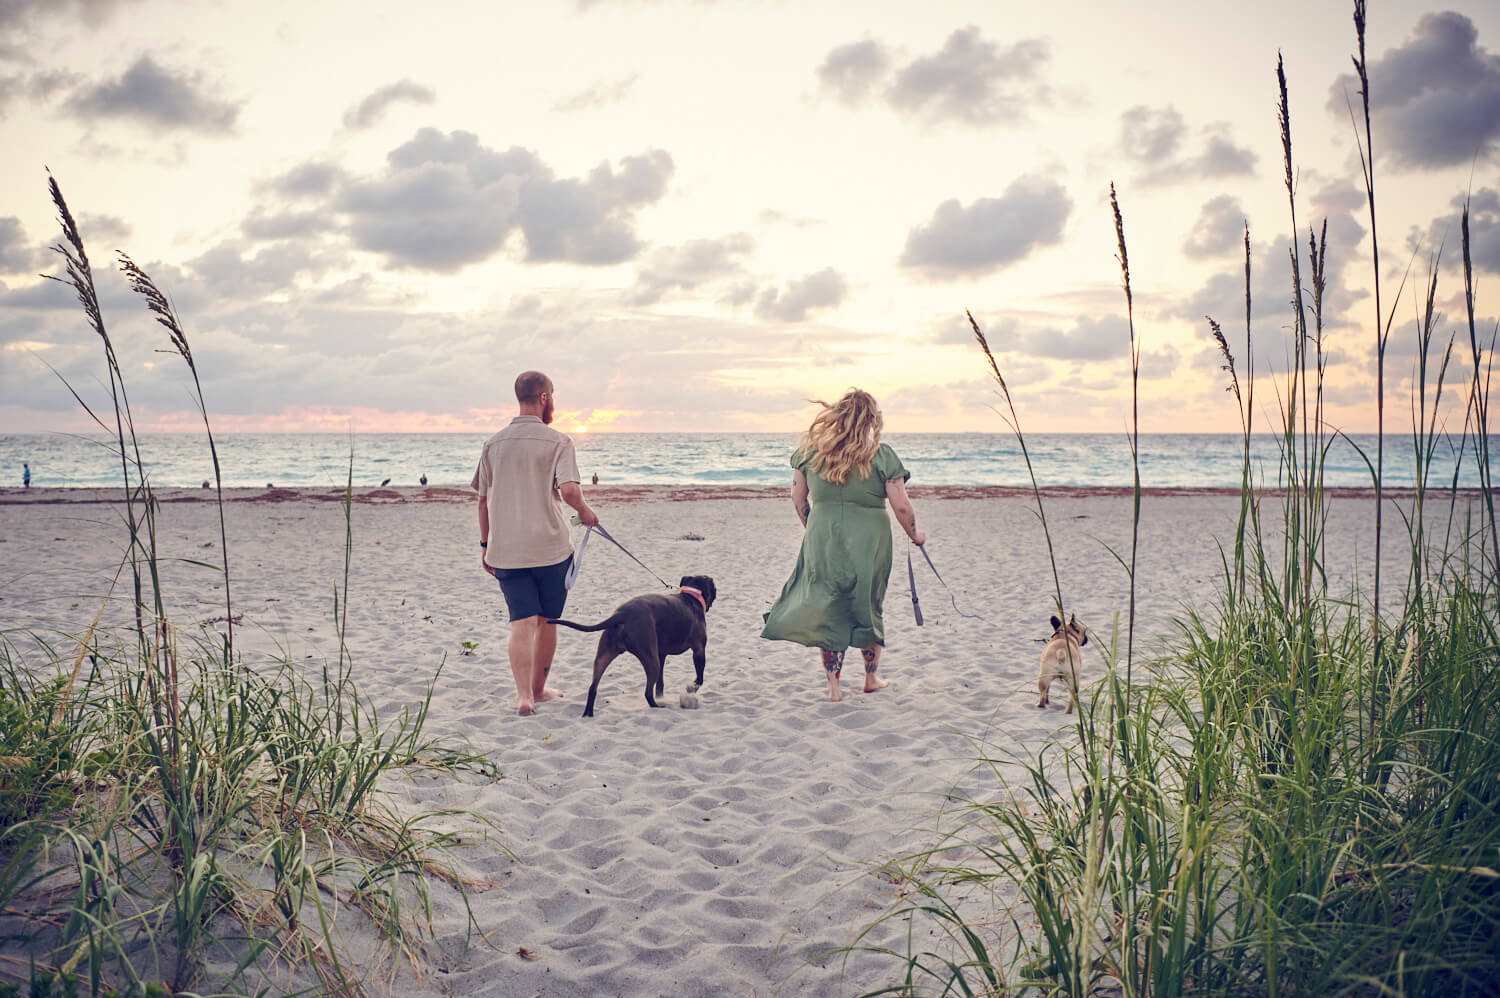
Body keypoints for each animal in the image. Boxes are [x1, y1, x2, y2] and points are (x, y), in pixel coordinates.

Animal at [552, 576, 720, 717]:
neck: (691, 596)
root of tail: (621, 614)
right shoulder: (699, 651)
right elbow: (699, 679)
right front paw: (691, 689)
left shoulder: (661, 654)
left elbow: (660, 684)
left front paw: (663, 695)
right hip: (651, 661)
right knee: (647, 693)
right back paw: (657, 707)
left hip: (603, 656)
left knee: (593, 687)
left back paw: (588, 713)